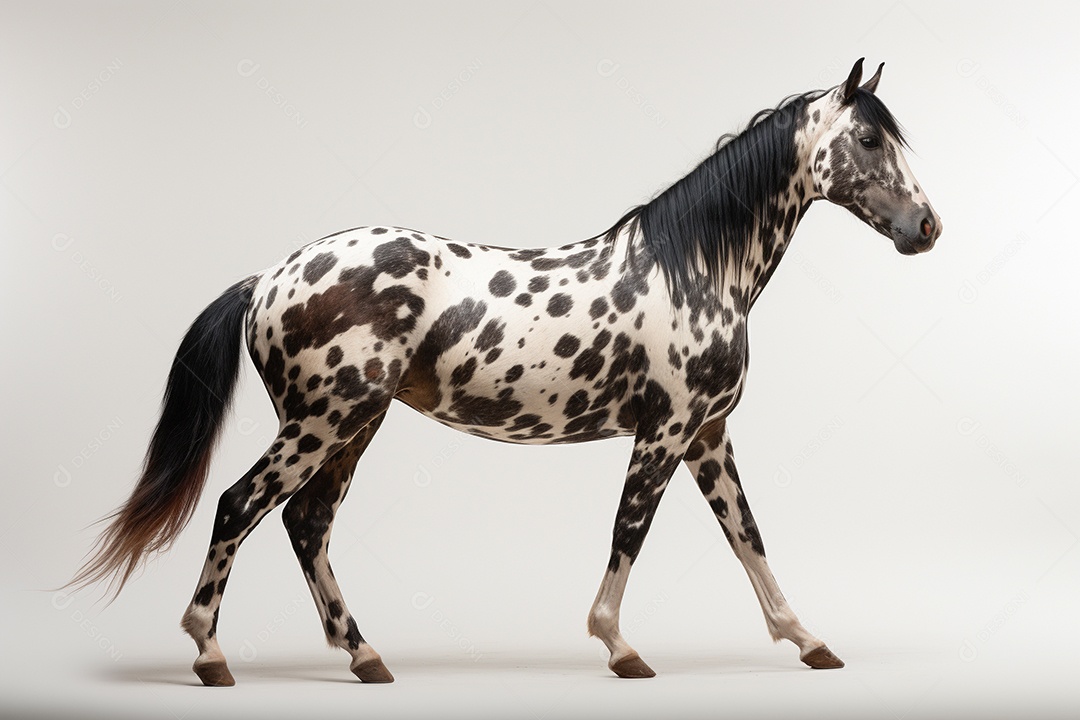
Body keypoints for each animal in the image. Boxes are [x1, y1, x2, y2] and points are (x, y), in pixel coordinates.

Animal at [69, 58, 941, 685]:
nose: (926, 228)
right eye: (869, 142)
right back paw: (211, 655)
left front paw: (808, 641)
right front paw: (619, 647)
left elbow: (749, 538)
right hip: (322, 421)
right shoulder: (664, 433)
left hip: (353, 424)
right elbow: (630, 530)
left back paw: (366, 658)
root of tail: (269, 278)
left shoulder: (708, 435)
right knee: (238, 506)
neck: (692, 269)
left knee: (305, 524)